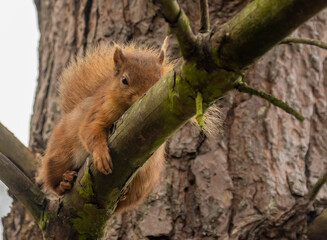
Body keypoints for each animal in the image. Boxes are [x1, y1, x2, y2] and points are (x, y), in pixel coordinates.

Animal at [38, 39, 172, 214]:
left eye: (160, 77)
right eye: (124, 80)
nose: (144, 96)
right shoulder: (99, 109)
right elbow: (90, 131)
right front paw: (101, 156)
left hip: (144, 179)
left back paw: (123, 195)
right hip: (59, 155)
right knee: (52, 181)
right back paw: (64, 182)